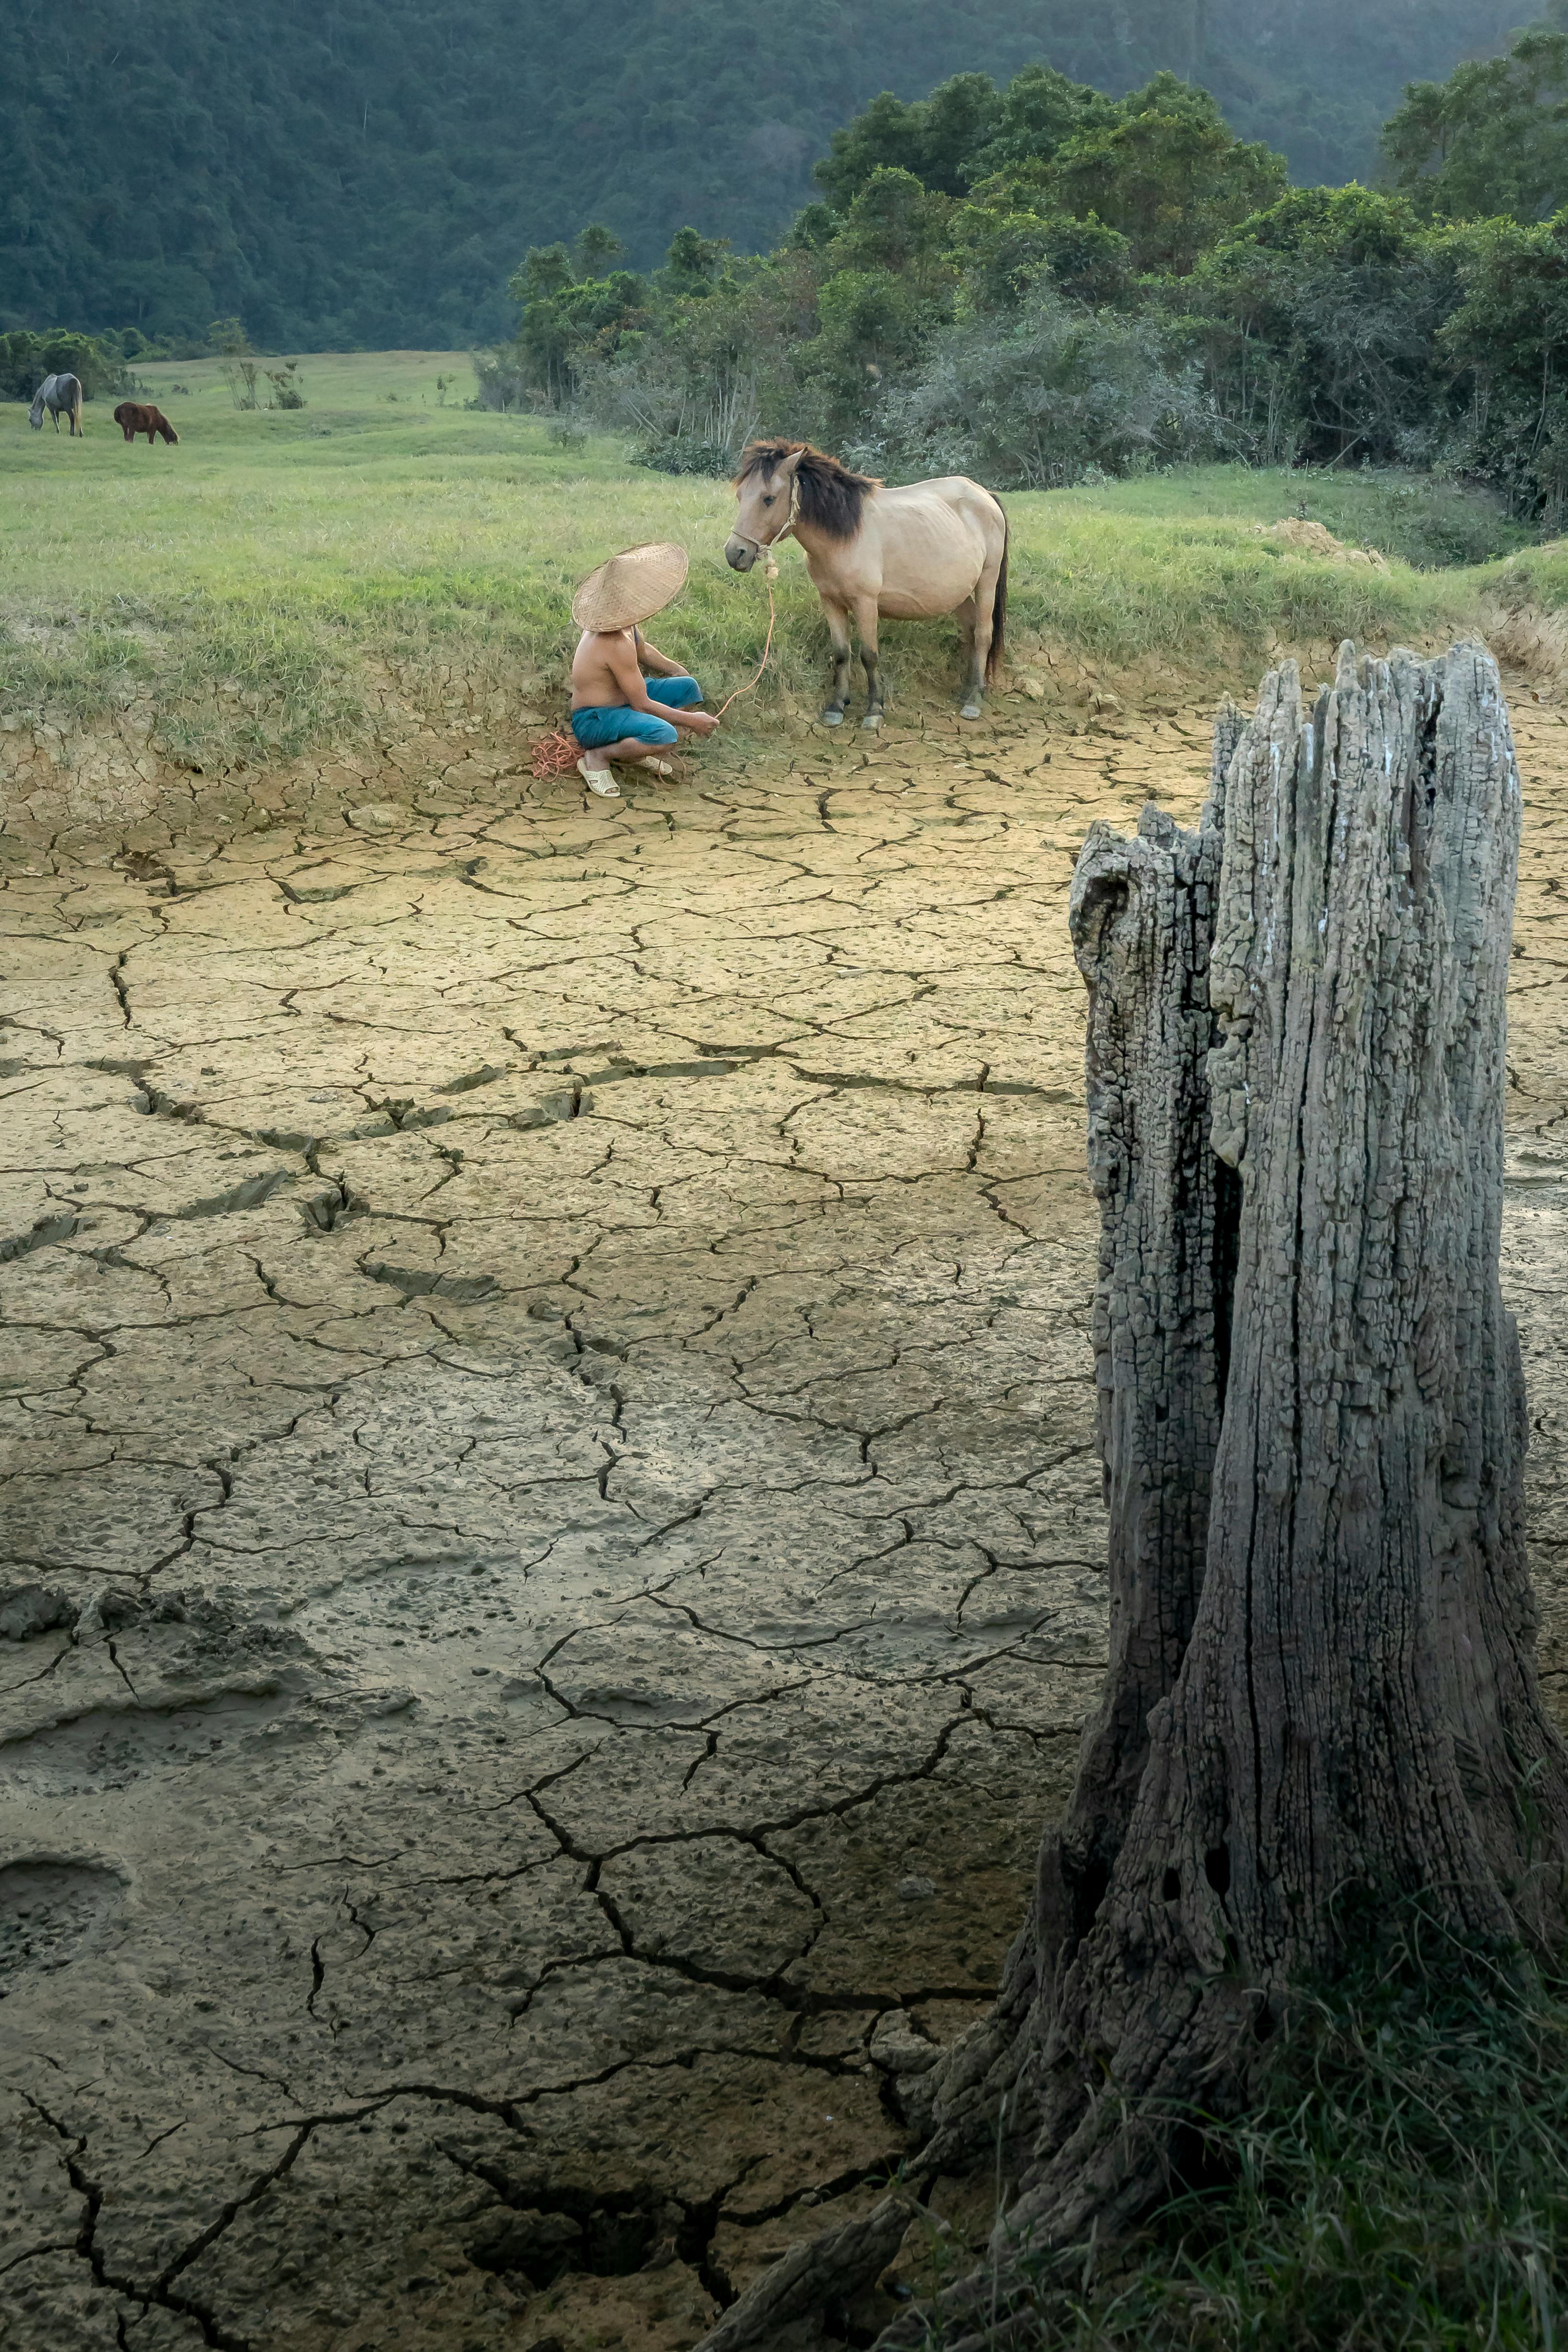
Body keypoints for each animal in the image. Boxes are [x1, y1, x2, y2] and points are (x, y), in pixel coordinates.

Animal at [29, 371, 84, 437]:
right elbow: (58, 420)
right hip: (78, 405)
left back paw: (72, 433)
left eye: (30, 420)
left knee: (72, 417)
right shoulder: (57, 410)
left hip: (67, 407)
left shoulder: (51, 408)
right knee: (78, 416)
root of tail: (73, 380)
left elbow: (54, 419)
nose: (33, 430)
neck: (44, 388)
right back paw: (81, 434)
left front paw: (58, 431)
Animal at [113, 397, 178, 442]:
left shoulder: (148, 431)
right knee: (130, 437)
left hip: (125, 426)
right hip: (131, 426)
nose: (176, 443)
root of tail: (119, 408)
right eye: (174, 437)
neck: (160, 420)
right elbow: (151, 441)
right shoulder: (153, 429)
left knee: (126, 436)